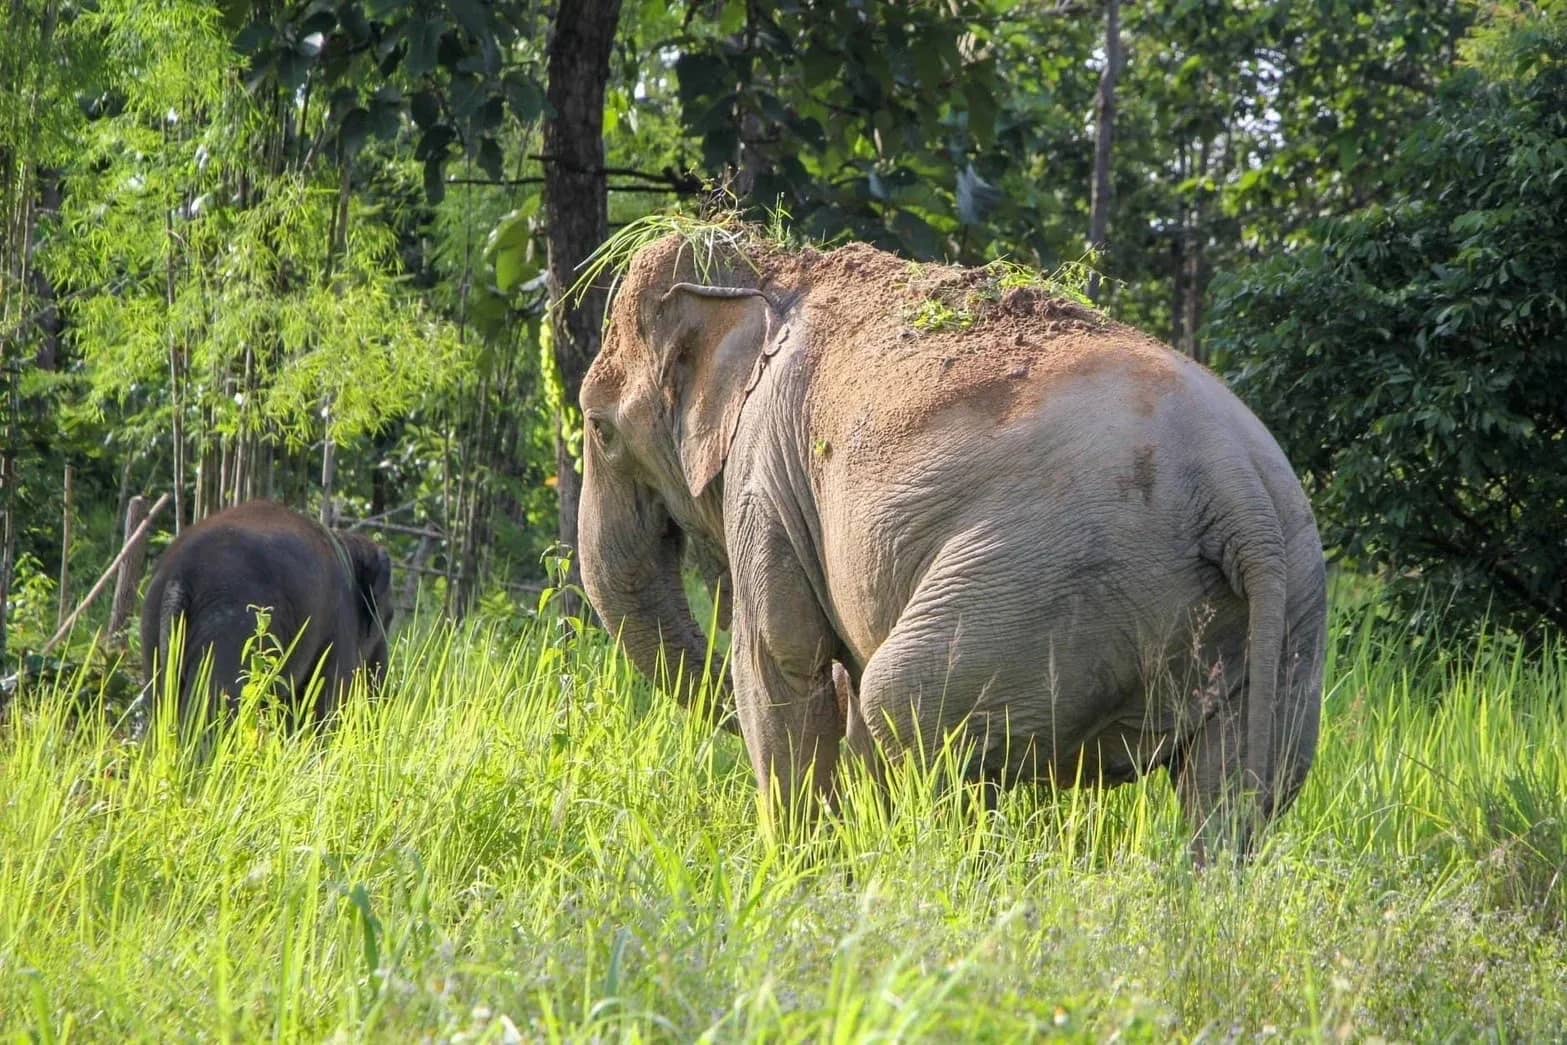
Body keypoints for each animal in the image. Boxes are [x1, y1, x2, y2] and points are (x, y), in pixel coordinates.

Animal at [141, 500, 394, 730]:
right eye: (390, 619)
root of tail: (179, 576)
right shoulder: (340, 623)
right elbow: (326, 704)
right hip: (231, 629)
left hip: (153, 624)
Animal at [577, 227, 1326, 855]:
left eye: (597, 428)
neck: (776, 268)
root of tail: (1236, 493)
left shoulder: (766, 468)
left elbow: (780, 662)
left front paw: (796, 873)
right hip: (1287, 613)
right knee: (1236, 790)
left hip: (1041, 586)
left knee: (906, 708)